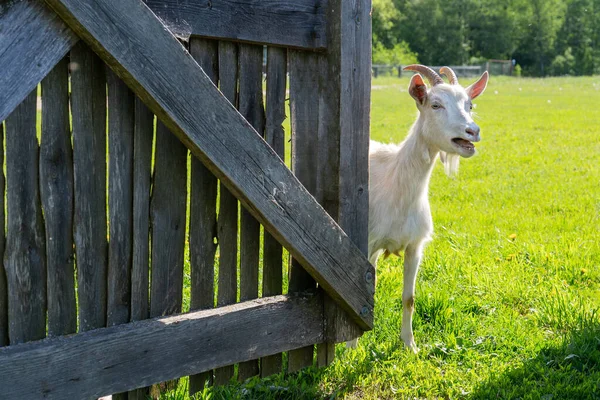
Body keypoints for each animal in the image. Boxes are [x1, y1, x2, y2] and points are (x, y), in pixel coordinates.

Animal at [370, 65, 488, 354]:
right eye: (435, 104)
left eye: (470, 105)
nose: (472, 131)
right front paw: (350, 348)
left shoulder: (415, 246)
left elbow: (409, 298)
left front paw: (410, 345)